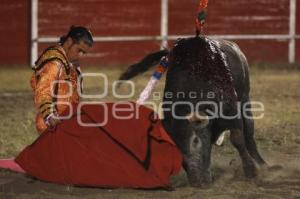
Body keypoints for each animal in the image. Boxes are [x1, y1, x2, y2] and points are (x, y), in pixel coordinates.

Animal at [118, 36, 266, 187]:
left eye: (195, 141)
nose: (197, 181)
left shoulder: (231, 110)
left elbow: (237, 138)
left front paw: (251, 171)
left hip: (245, 97)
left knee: (248, 131)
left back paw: (261, 163)